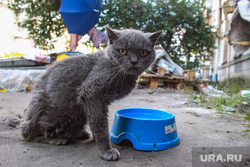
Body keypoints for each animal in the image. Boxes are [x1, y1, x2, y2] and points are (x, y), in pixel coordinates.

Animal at [22, 27, 162, 160]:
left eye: (143, 52)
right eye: (123, 51)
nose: (134, 62)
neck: (121, 73)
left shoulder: (97, 102)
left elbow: (95, 120)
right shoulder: (92, 93)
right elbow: (100, 124)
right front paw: (106, 150)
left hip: (78, 114)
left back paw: (81, 134)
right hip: (52, 113)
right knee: (27, 133)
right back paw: (56, 139)